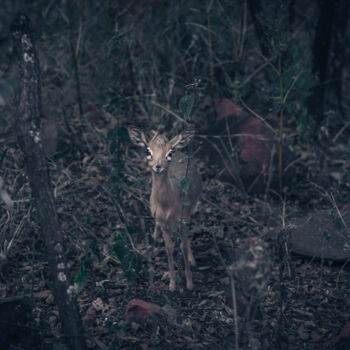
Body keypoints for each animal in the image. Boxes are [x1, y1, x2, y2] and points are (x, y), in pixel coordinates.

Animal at [129, 127, 201, 292]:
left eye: (170, 152)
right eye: (147, 150)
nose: (158, 166)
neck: (166, 205)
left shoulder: (182, 220)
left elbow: (183, 246)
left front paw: (189, 284)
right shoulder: (163, 223)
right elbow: (169, 248)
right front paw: (172, 285)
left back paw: (192, 260)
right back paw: (155, 238)